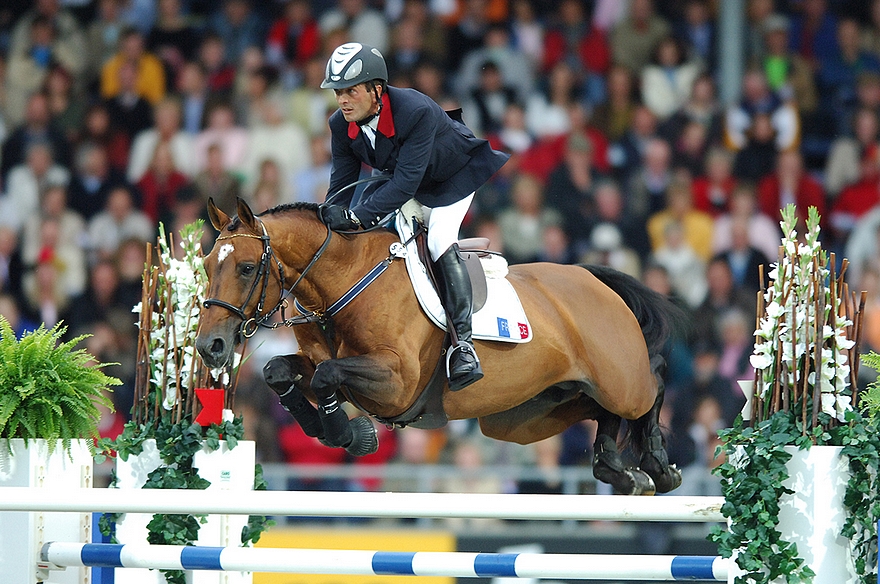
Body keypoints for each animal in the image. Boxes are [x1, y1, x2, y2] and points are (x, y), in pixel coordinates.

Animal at [196, 198, 684, 496]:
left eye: (245, 267)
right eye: (205, 264)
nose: (210, 346)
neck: (345, 280)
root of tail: (591, 276)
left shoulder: (397, 382)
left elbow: (326, 376)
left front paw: (350, 434)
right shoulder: (329, 364)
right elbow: (281, 371)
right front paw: (334, 429)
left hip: (619, 378)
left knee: (654, 380)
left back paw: (659, 464)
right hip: (532, 414)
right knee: (602, 410)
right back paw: (618, 469)